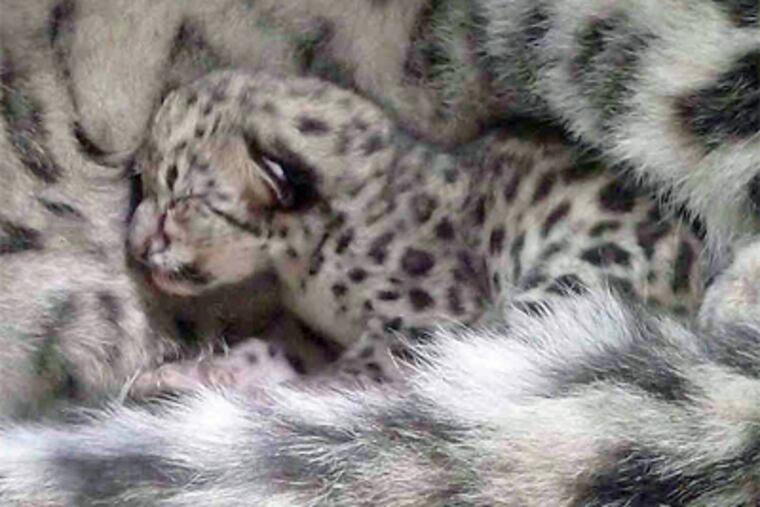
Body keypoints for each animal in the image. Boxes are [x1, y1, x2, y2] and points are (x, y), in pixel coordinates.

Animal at [124, 70, 705, 391]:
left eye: (184, 201)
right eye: (142, 183)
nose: (135, 246)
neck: (300, 271)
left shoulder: (419, 322)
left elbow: (347, 380)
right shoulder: (312, 332)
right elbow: (265, 351)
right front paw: (197, 374)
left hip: (564, 285)